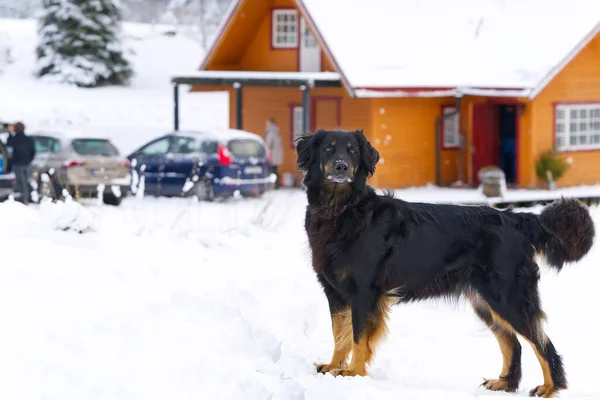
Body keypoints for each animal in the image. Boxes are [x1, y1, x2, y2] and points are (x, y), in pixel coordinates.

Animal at [296, 128, 596, 396]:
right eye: (328, 149)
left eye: (352, 151)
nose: (341, 167)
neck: (343, 208)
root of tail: (517, 219)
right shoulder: (335, 292)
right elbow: (340, 334)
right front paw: (334, 367)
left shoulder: (364, 293)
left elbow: (358, 337)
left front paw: (353, 374)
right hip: (486, 301)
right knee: (514, 344)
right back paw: (504, 384)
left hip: (508, 296)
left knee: (542, 344)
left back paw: (549, 388)